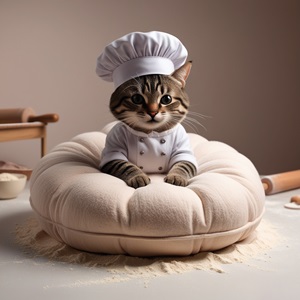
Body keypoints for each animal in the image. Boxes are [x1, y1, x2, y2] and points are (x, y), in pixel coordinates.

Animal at [100, 60, 197, 188]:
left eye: (166, 99)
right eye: (137, 98)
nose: (153, 112)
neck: (151, 135)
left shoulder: (184, 150)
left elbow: (183, 165)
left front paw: (177, 176)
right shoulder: (113, 151)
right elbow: (125, 166)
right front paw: (138, 176)